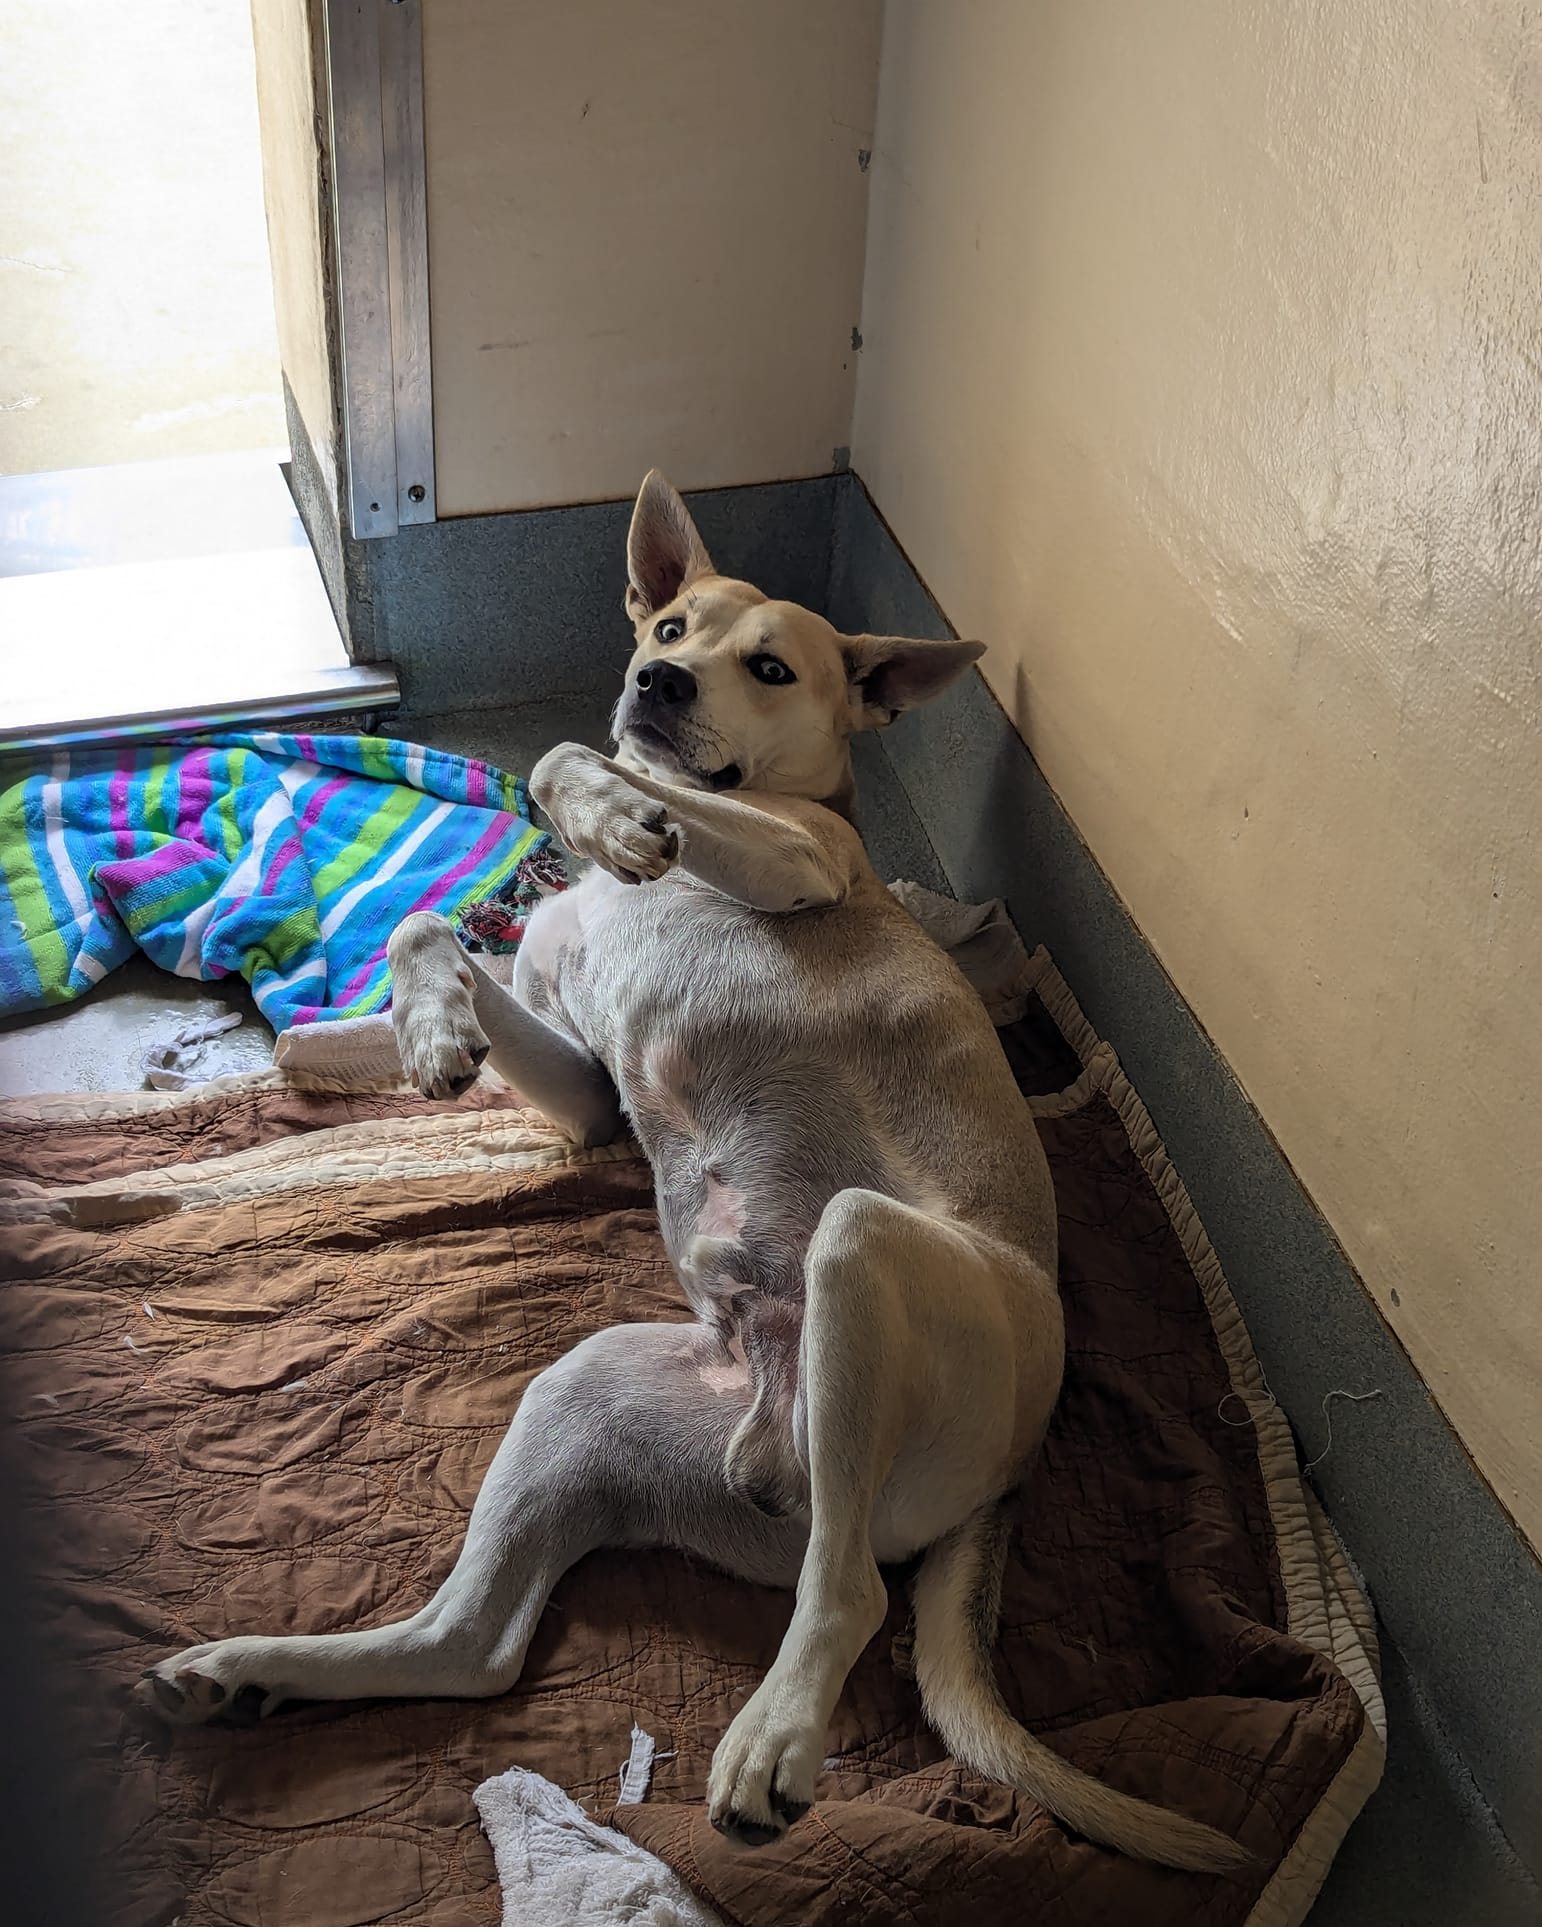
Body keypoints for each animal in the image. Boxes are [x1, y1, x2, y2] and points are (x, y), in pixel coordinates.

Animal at [141, 474, 1249, 1873]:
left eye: (770, 667)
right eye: (670, 624)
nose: (657, 682)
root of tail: (1007, 1481)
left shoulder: (798, 858)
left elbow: (570, 760)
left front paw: (613, 812)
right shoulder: (584, 1088)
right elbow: (427, 923)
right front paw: (433, 1029)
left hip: (862, 1251)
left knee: (851, 1587)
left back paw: (772, 1737)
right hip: (584, 1394)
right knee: (472, 1647)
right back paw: (247, 1671)